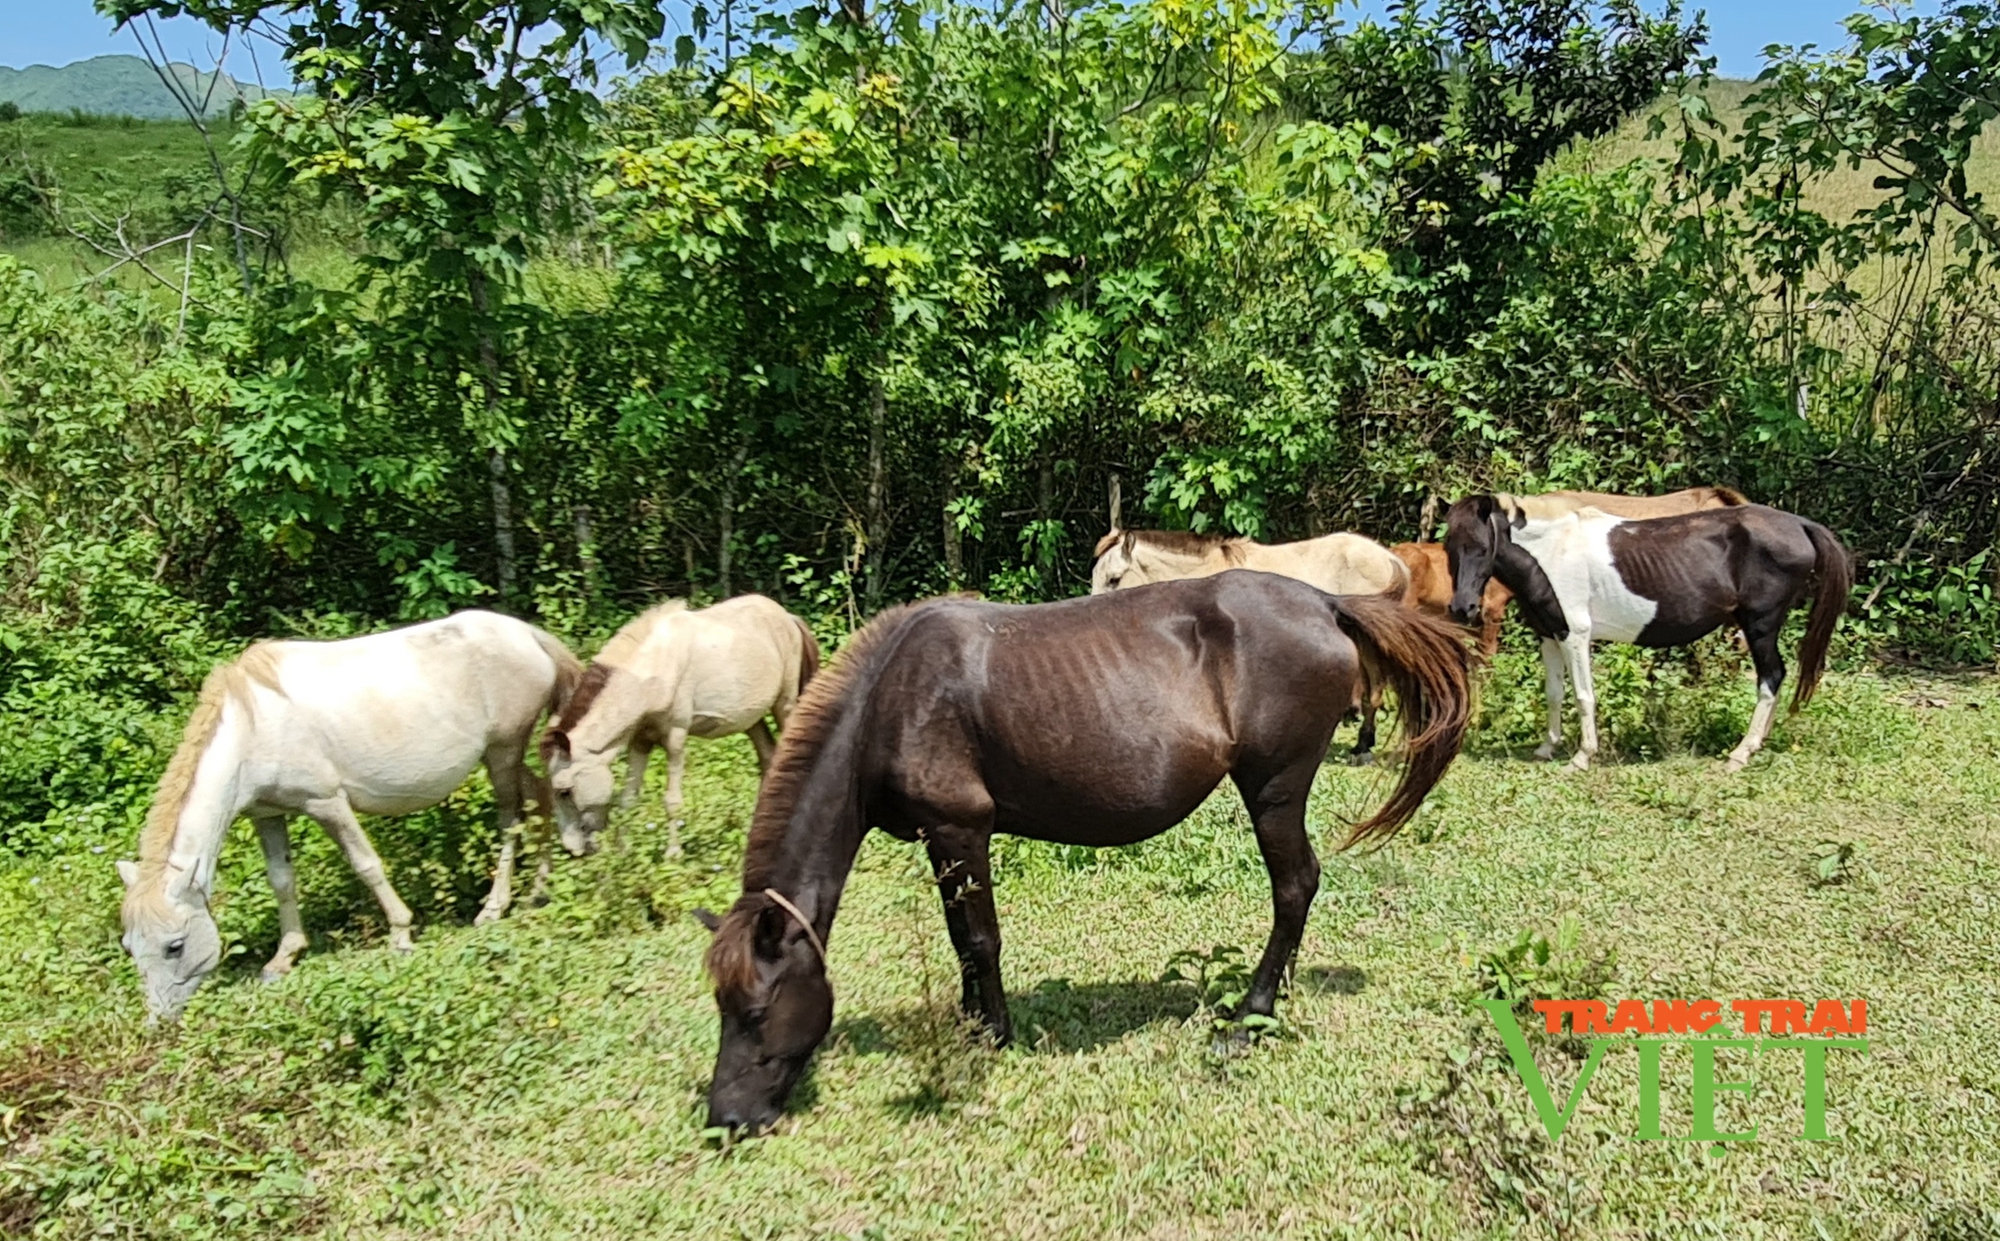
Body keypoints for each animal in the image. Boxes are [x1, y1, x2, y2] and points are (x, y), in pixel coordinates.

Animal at [120, 612, 580, 1016]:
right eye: (130, 947)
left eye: (174, 945)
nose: (159, 1018)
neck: (252, 726)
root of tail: (526, 633)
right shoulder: (267, 814)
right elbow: (281, 880)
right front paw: (283, 958)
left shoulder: (326, 802)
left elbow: (367, 865)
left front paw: (401, 934)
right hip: (502, 756)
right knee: (541, 798)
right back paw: (538, 891)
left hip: (503, 751)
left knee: (511, 820)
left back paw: (494, 907)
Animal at [536, 592, 816, 852]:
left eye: (564, 791)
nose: (572, 848)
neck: (652, 675)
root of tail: (788, 618)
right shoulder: (640, 742)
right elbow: (628, 798)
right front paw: (623, 851)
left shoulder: (675, 738)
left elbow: (672, 800)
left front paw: (673, 852)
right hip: (752, 719)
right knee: (768, 756)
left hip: (785, 705)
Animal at [700, 572, 1472, 1136]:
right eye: (720, 1005)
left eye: (756, 1011)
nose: (727, 1117)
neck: (890, 702)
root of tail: (1326, 601)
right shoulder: (937, 840)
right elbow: (957, 938)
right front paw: (969, 1019)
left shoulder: (961, 829)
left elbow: (980, 938)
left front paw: (994, 1034)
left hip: (1274, 789)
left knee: (1295, 886)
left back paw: (1250, 1018)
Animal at [1448, 496, 1848, 772]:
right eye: (1450, 547)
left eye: (1482, 548)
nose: (1462, 608)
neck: (1550, 553)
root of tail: (1801, 524)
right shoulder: (1550, 635)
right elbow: (1554, 694)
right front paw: (1547, 748)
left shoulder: (1575, 635)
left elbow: (1583, 696)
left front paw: (1581, 757)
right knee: (1776, 677)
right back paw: (1756, 745)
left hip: (1760, 625)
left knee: (1770, 677)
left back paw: (1740, 753)